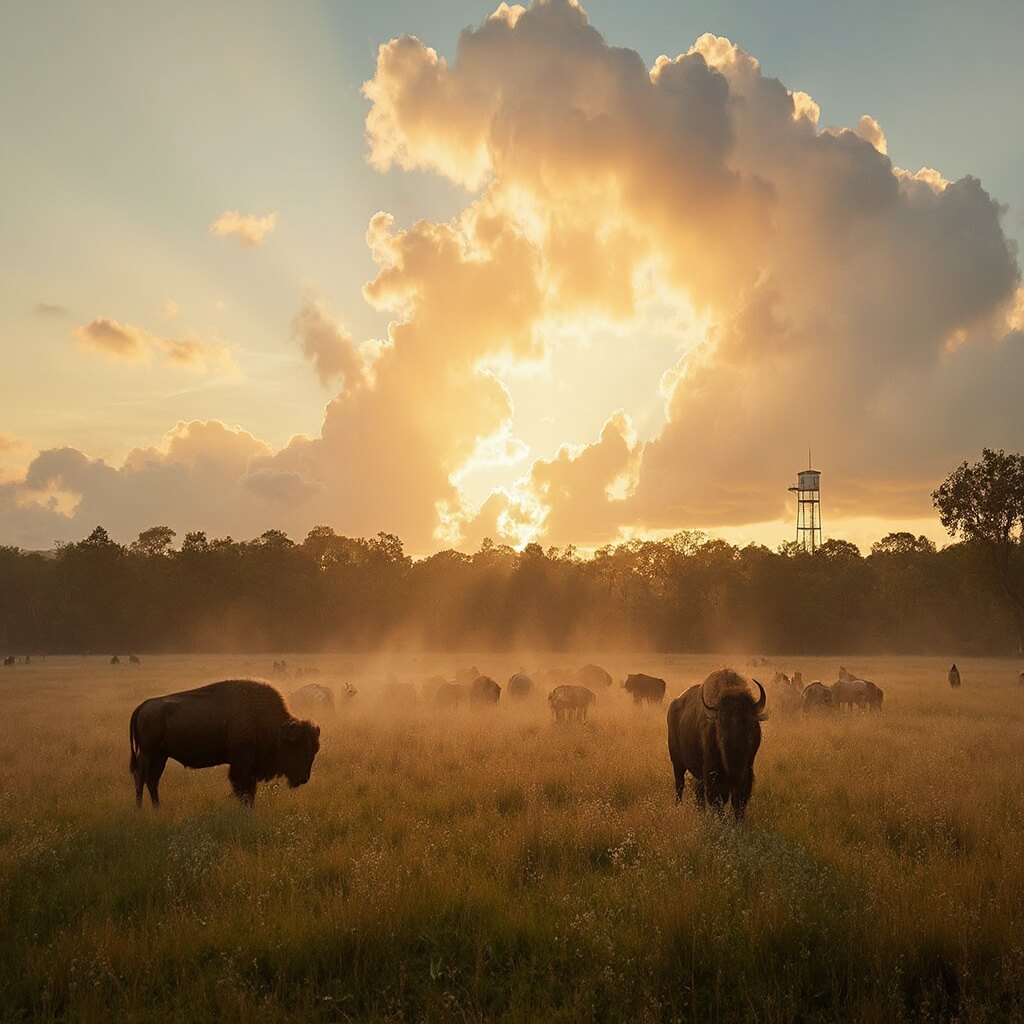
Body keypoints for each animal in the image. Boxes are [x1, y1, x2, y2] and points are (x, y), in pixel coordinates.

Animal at [129, 678, 320, 807]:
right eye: (296, 746)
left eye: (314, 750)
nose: (304, 778)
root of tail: (143, 706)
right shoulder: (242, 765)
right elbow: (244, 790)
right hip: (147, 752)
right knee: (140, 777)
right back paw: (139, 809)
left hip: (160, 756)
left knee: (152, 780)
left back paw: (157, 809)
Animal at [667, 669, 767, 819]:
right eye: (720, 724)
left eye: (749, 722)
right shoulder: (712, 773)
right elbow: (717, 800)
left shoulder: (746, 771)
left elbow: (739, 799)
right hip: (677, 762)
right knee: (680, 786)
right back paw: (678, 809)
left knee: (698, 793)